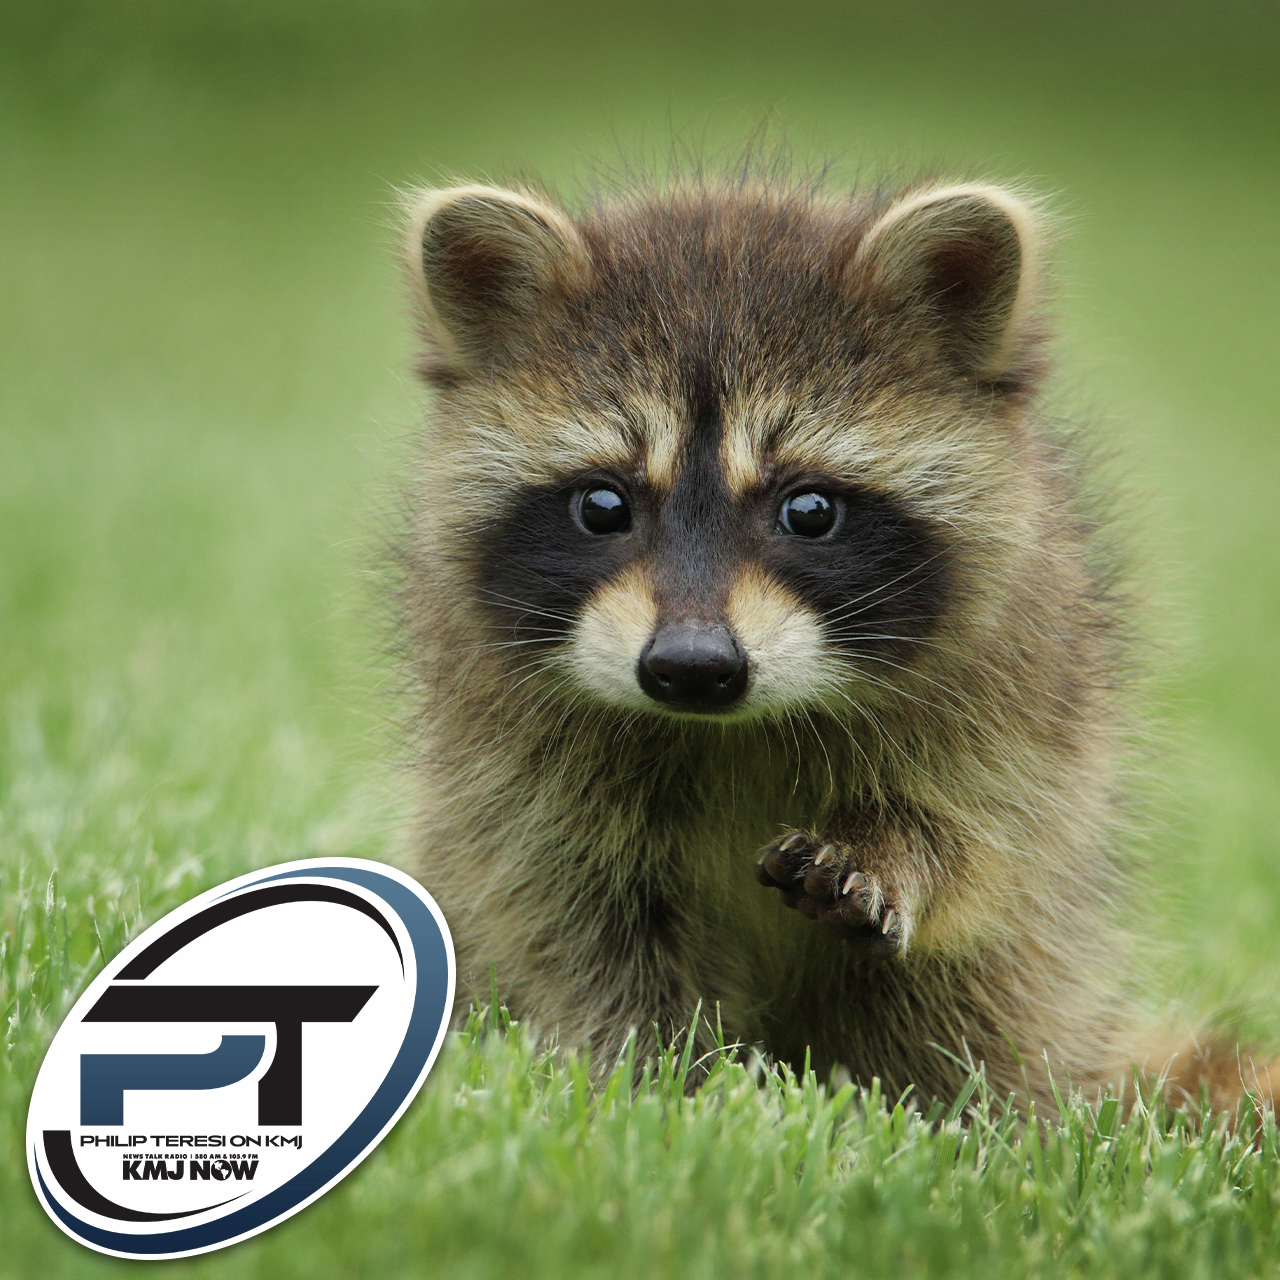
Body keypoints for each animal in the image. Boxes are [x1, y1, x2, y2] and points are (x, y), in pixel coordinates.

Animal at [396, 171, 1264, 1113]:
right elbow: (571, 922)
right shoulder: (511, 762)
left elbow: (986, 837)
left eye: (809, 510)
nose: (692, 668)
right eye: (602, 505)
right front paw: (658, 1082)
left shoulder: (1022, 682)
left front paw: (898, 851)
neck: (727, 731)